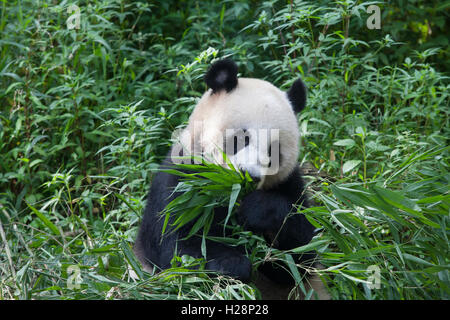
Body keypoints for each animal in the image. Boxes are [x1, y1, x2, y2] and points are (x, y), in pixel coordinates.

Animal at [134, 59, 326, 298]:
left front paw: (258, 210)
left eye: (273, 151)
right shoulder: (180, 183)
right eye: (241, 138)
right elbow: (180, 249)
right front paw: (232, 264)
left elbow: (300, 259)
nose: (249, 176)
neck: (229, 194)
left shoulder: (290, 184)